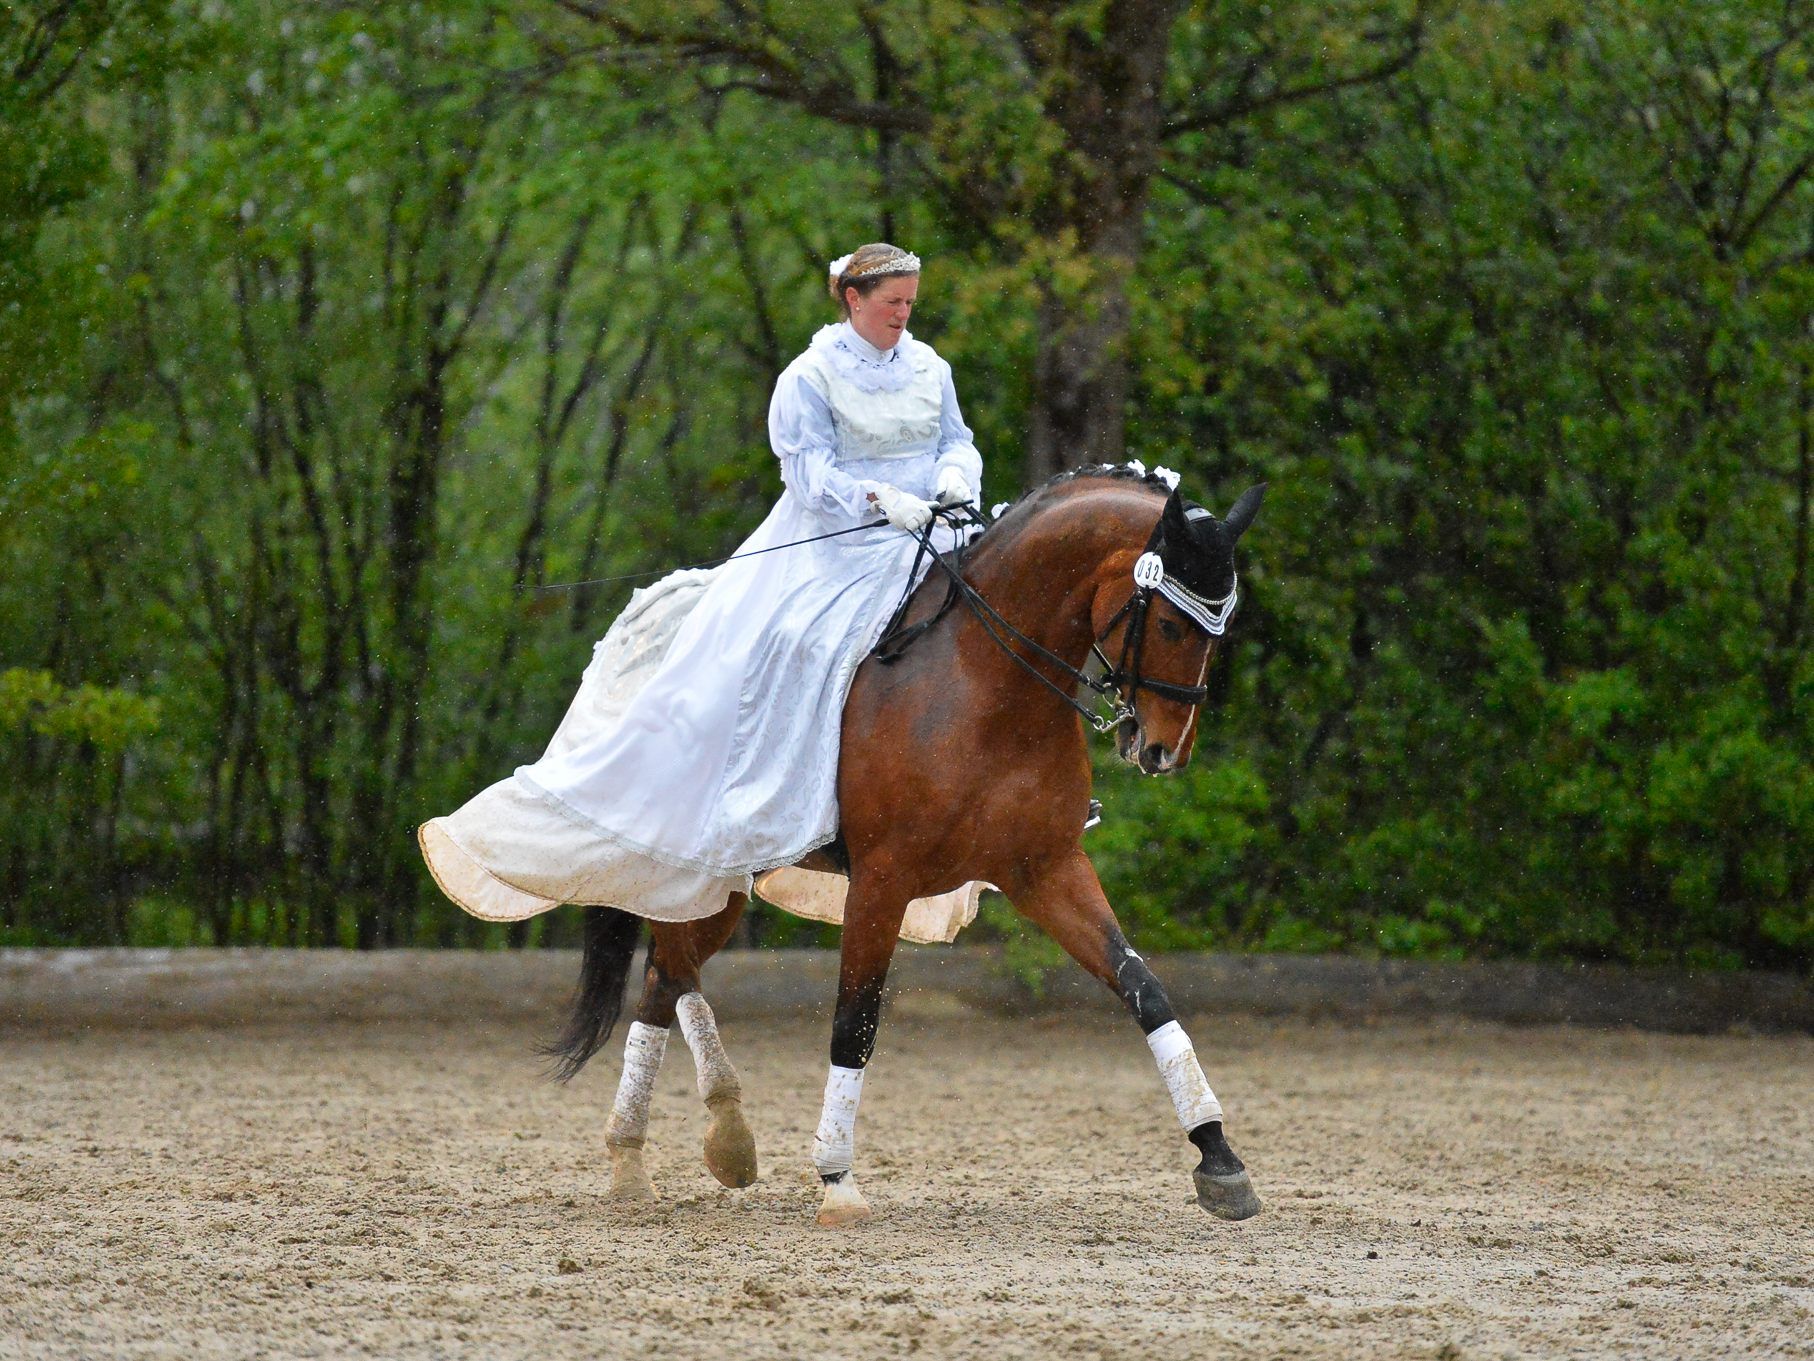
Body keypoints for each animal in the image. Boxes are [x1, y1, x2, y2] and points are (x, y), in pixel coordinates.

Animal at [536, 468, 1262, 1226]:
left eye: (1222, 627)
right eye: (1172, 622)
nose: (1164, 751)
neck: (985, 684)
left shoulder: (1047, 869)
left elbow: (1143, 987)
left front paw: (1219, 1157)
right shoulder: (883, 880)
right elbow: (855, 1021)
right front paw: (835, 1178)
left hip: (723, 877)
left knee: (666, 980)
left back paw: (703, 1142)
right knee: (668, 973)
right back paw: (646, 1155)